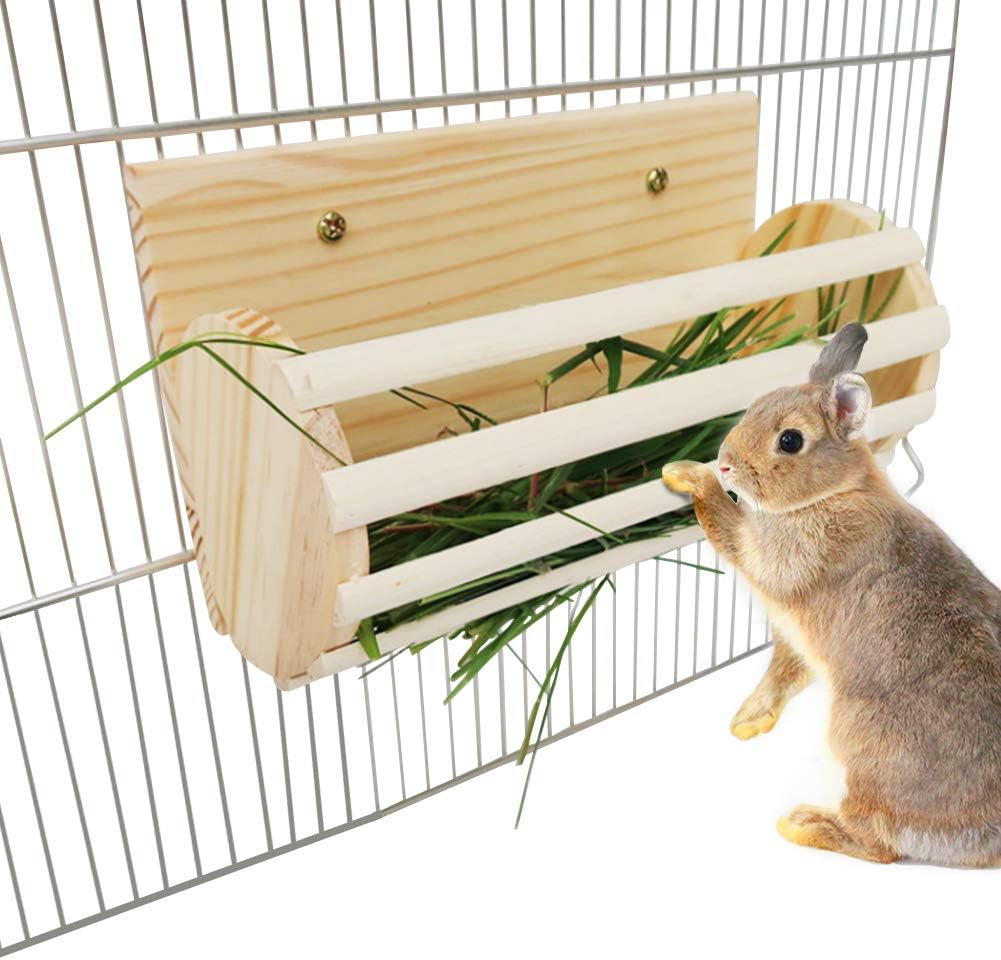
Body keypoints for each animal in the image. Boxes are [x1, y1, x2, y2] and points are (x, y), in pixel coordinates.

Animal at [662, 323, 1001, 866]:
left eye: (790, 440)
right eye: (756, 404)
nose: (727, 463)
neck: (833, 493)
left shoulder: (777, 557)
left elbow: (727, 525)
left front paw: (687, 473)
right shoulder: (795, 639)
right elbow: (783, 673)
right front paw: (748, 722)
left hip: (860, 744)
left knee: (880, 845)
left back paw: (804, 824)